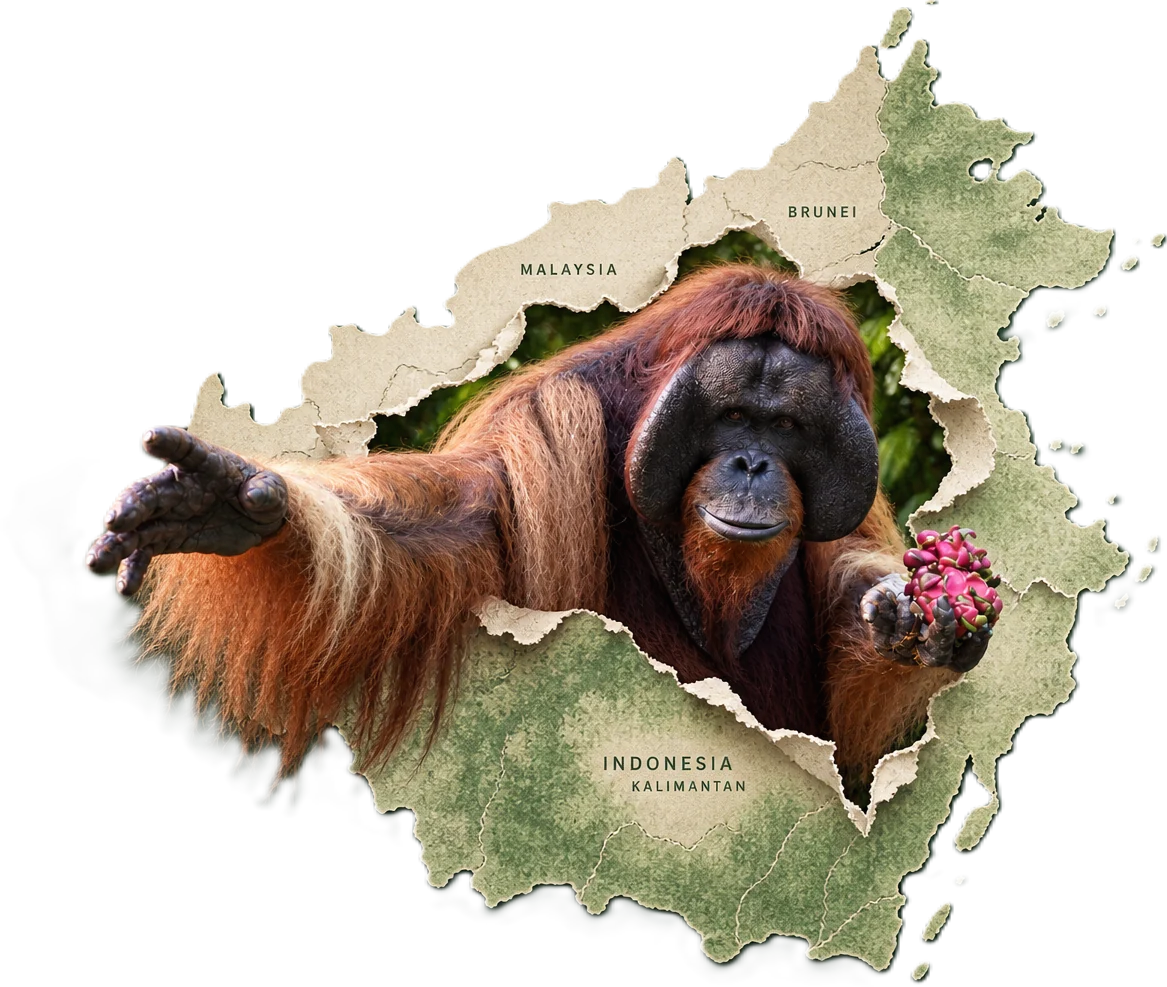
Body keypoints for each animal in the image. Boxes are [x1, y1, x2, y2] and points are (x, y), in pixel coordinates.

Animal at [83, 263, 991, 800]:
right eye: (735, 415)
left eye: (787, 427)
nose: (751, 462)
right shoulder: (549, 426)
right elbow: (437, 526)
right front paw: (232, 505)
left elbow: (845, 599)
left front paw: (922, 619)